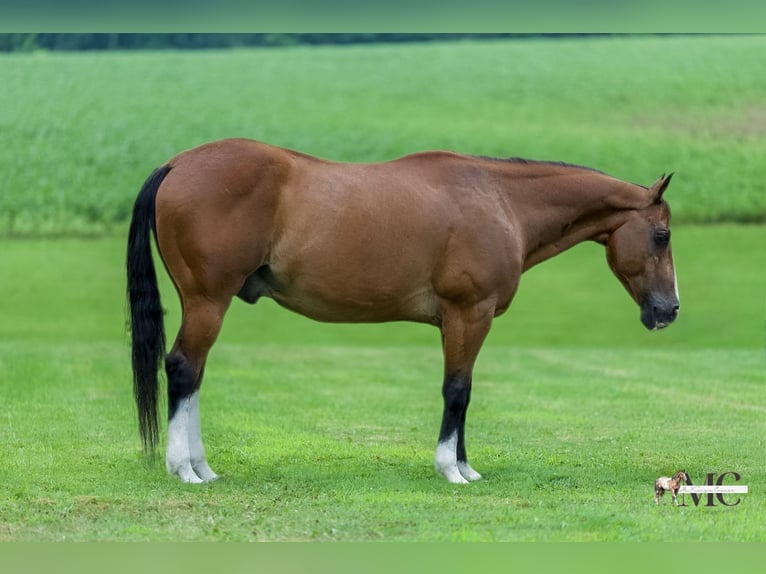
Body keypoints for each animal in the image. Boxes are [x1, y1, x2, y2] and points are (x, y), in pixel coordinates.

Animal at [126, 138, 679, 484]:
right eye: (662, 235)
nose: (669, 309)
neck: (499, 199)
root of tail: (177, 165)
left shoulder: (463, 322)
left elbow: (466, 391)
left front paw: (466, 465)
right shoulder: (468, 314)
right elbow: (456, 391)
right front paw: (451, 470)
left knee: (194, 375)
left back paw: (201, 465)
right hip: (208, 302)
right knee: (183, 369)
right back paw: (185, 469)